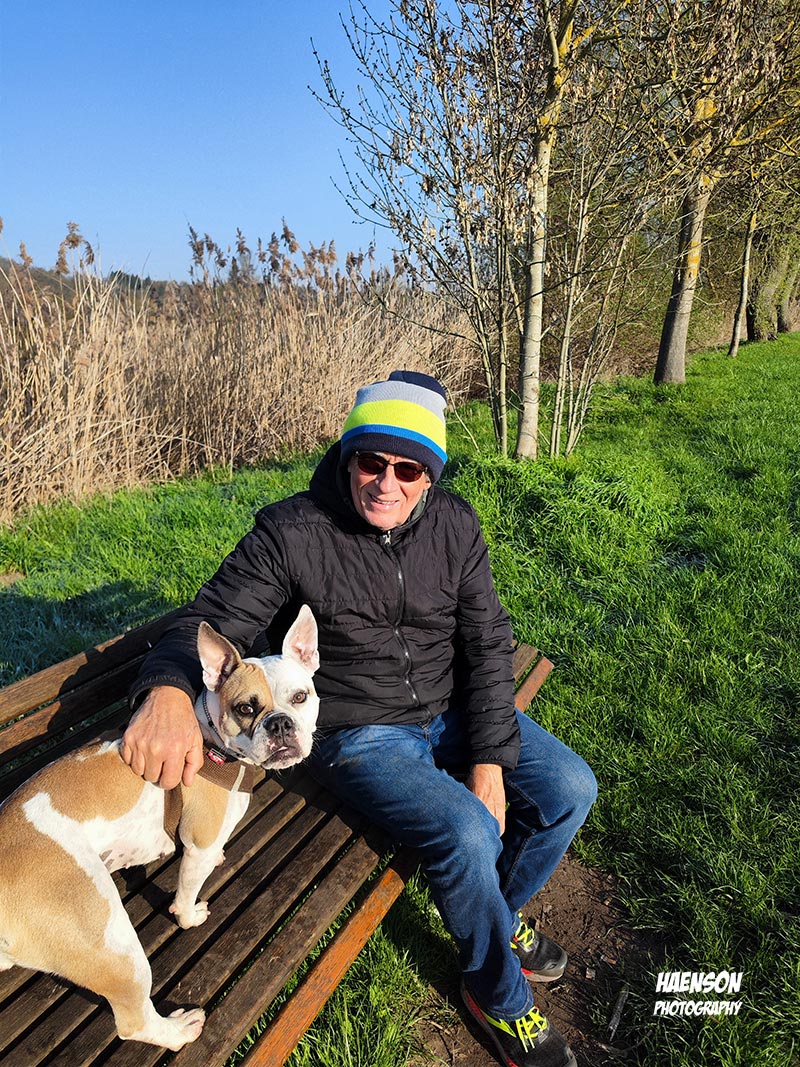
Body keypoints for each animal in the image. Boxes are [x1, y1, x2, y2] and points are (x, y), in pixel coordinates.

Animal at [0, 605, 320, 1050]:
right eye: (245, 708)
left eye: (300, 697)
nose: (280, 724)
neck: (212, 741)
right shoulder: (197, 843)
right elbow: (185, 892)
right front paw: (189, 916)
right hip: (112, 943)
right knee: (132, 1021)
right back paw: (179, 1030)